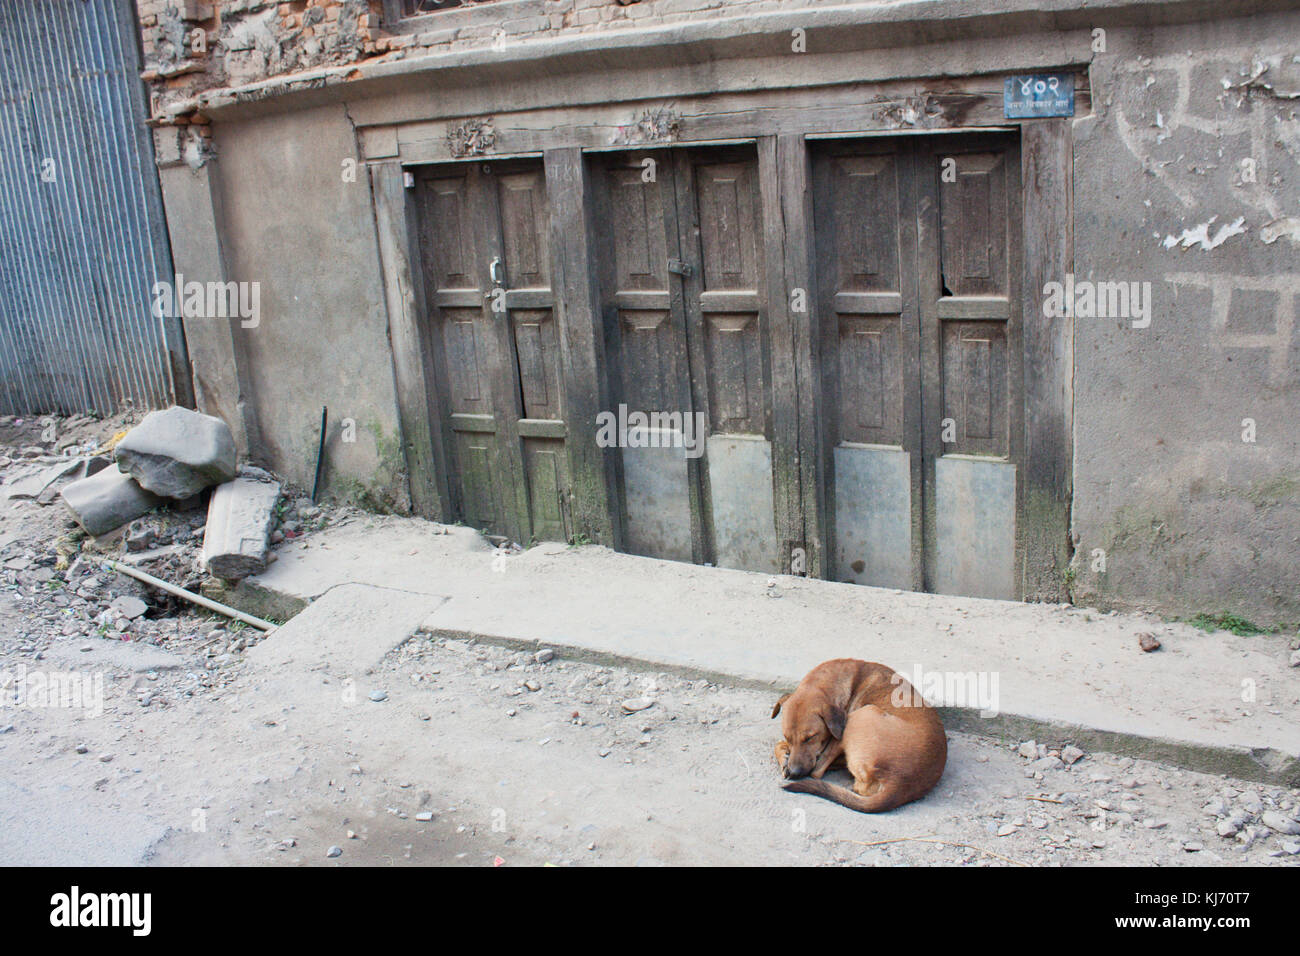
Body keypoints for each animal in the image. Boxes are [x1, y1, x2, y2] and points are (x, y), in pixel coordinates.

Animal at [769, 658, 946, 816]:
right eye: (788, 737)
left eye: (810, 737)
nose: (795, 772)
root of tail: (899, 782)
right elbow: (778, 744)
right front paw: (784, 758)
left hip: (858, 715)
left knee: (817, 771)